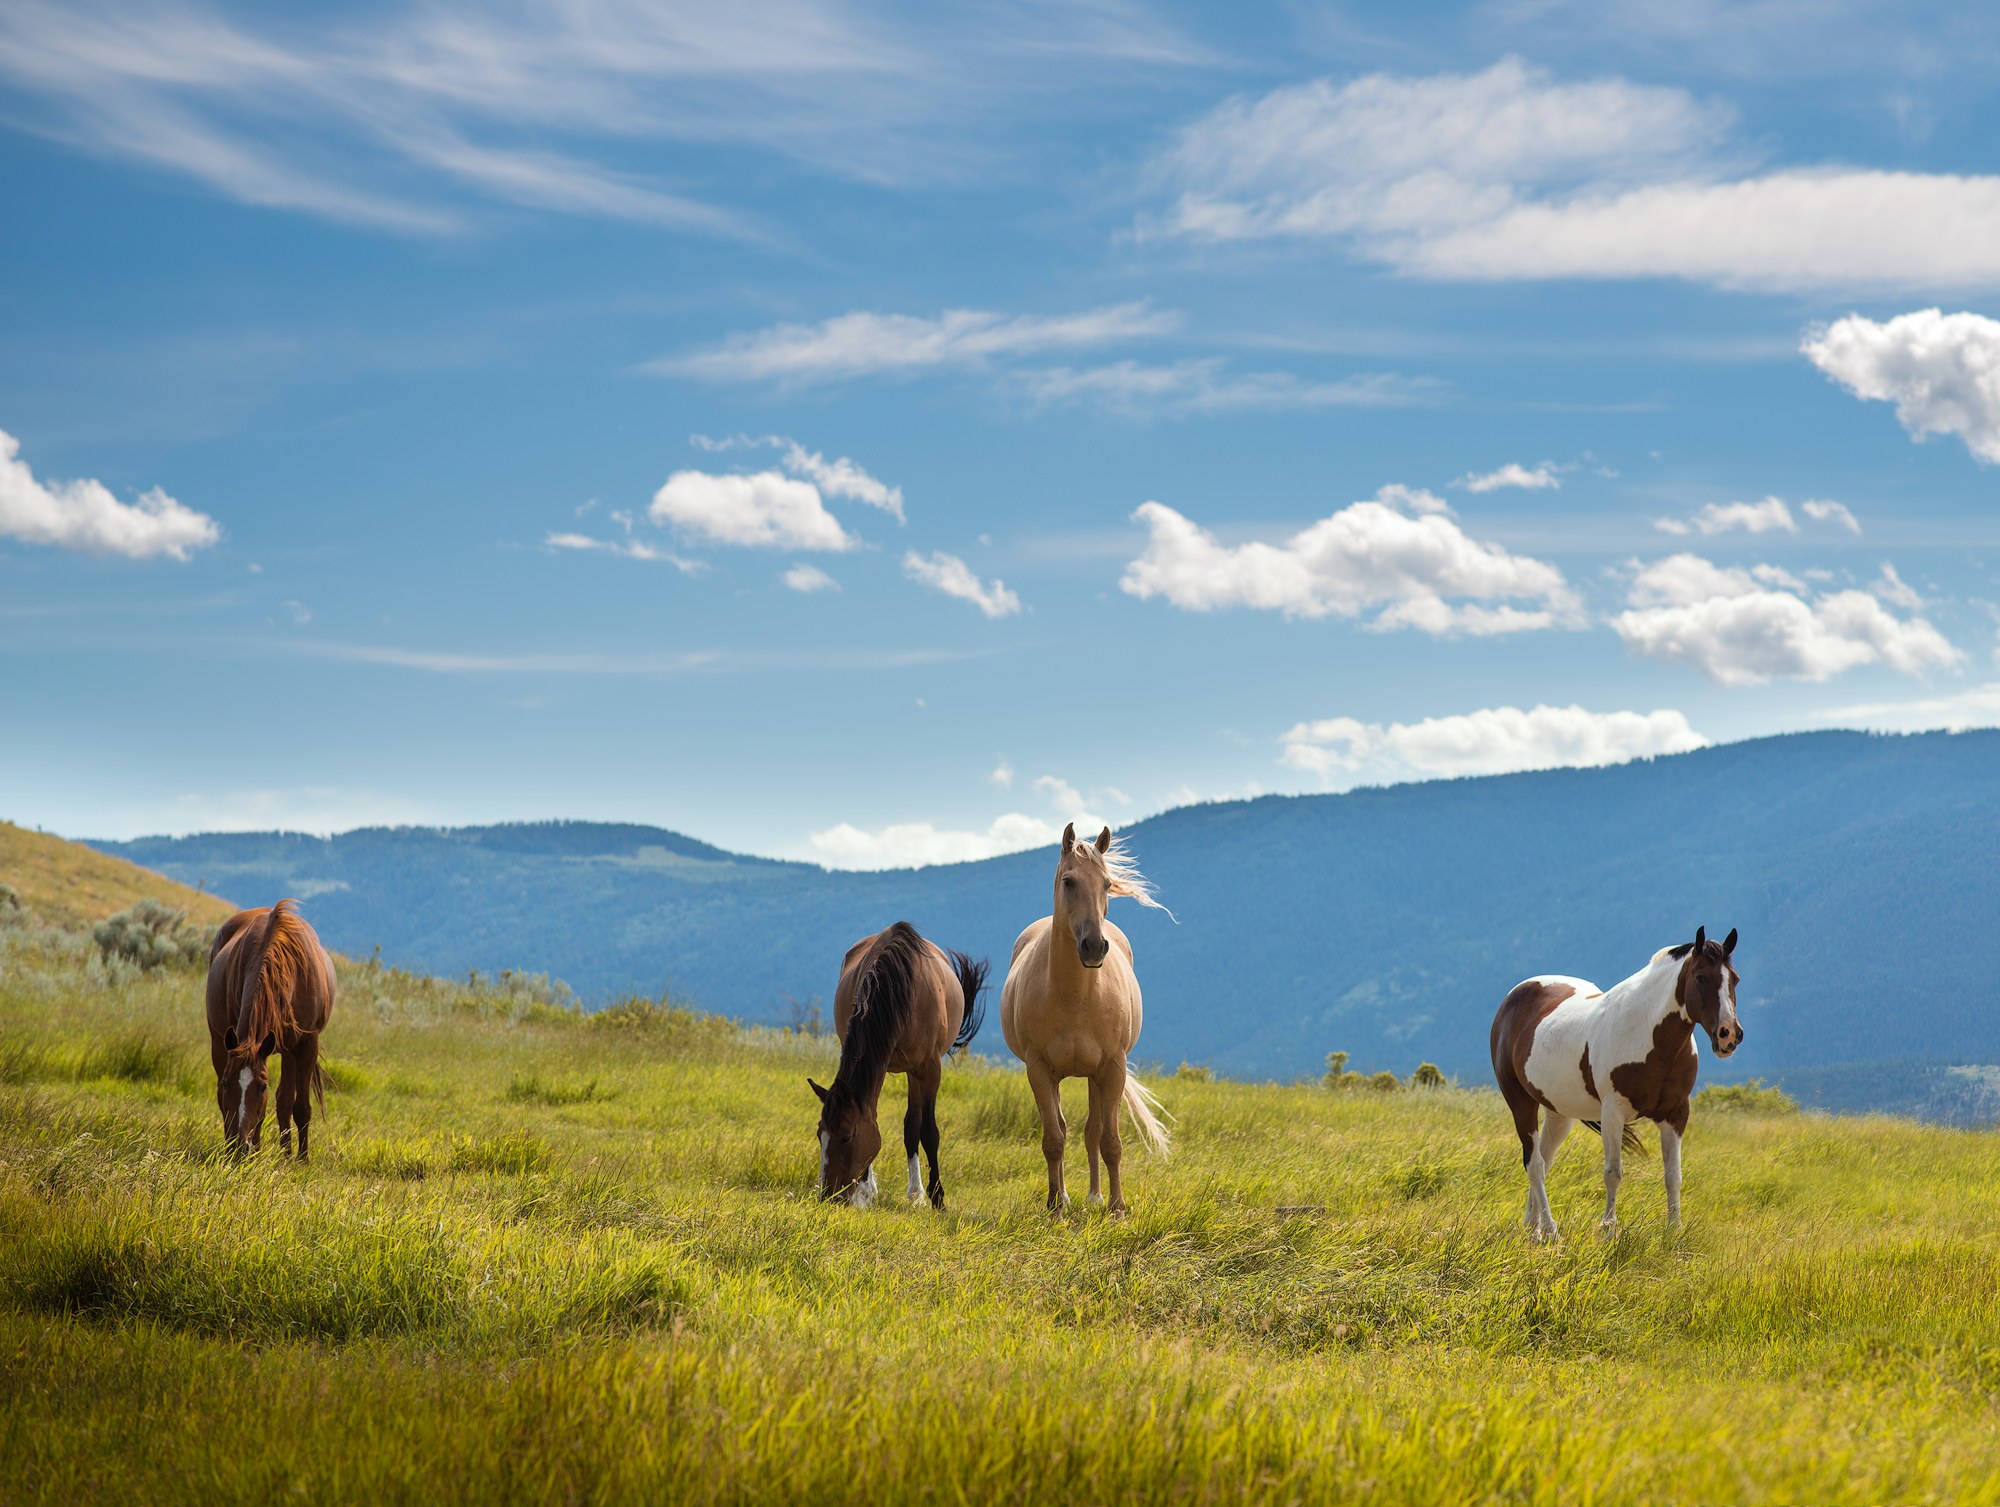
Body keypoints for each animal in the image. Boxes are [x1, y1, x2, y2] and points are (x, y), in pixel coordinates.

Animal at [205, 899, 337, 1158]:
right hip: (219, 1041)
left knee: (284, 1101)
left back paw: (286, 1154)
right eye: (227, 1083)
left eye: (262, 1085)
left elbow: (299, 1107)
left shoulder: (306, 1045)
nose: (239, 1146)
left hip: (288, 1050)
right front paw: (253, 1152)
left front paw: (301, 1159)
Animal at [809, 921, 988, 1208]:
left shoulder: (928, 1068)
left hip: (915, 1072)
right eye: (819, 1135)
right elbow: (872, 1116)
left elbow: (927, 1130)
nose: (827, 1196)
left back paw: (916, 1192)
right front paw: (864, 1191)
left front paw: (937, 1196)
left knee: (912, 1125)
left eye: (846, 1136)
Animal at [999, 822, 1172, 1215]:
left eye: (1107, 883)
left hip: (1096, 1075)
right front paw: (1054, 1206)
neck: (1076, 997)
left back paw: (1094, 1196)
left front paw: (1117, 1208)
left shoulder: (1112, 1067)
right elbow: (1054, 1139)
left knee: (1094, 1130)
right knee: (1064, 1128)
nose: (1094, 947)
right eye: (1069, 881)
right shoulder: (1039, 1069)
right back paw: (1065, 1195)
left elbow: (1109, 1140)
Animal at [1490, 926, 1742, 1239]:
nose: (1728, 1034)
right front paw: (1609, 1229)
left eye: (1734, 979)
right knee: (1534, 1164)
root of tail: (1515, 996)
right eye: (1700, 977)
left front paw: (1674, 1230)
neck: (1648, 1034)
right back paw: (1550, 1230)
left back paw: (1533, 1229)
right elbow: (1613, 1173)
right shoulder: (1613, 1113)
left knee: (1544, 1161)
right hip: (1521, 1103)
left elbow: (1673, 1176)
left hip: (1558, 1113)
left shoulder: (1676, 1114)